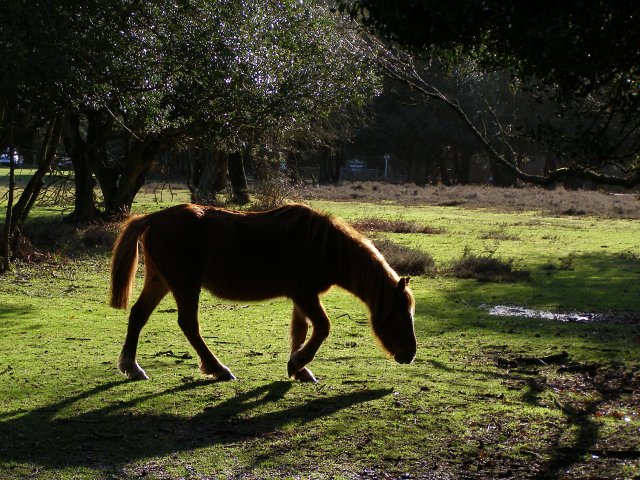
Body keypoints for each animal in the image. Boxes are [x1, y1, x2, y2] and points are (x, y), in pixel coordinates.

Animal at [111, 202, 416, 382]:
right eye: (401, 317)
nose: (410, 355)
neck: (323, 245)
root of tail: (155, 217)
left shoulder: (302, 297)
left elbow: (301, 331)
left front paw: (300, 369)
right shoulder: (305, 294)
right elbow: (322, 328)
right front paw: (298, 363)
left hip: (160, 281)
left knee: (138, 315)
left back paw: (132, 367)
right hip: (185, 284)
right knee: (188, 324)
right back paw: (218, 368)